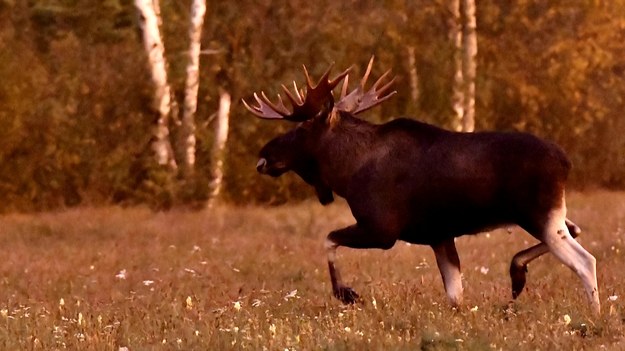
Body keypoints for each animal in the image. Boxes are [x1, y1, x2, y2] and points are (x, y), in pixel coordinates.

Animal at [244, 58, 600, 316]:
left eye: (302, 128)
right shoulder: (440, 236)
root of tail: (566, 161)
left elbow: (328, 239)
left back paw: (594, 315)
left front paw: (347, 293)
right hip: (548, 214)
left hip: (539, 215)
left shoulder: (382, 229)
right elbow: (455, 296)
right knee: (577, 228)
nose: (264, 156)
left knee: (585, 261)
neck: (345, 173)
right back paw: (517, 273)